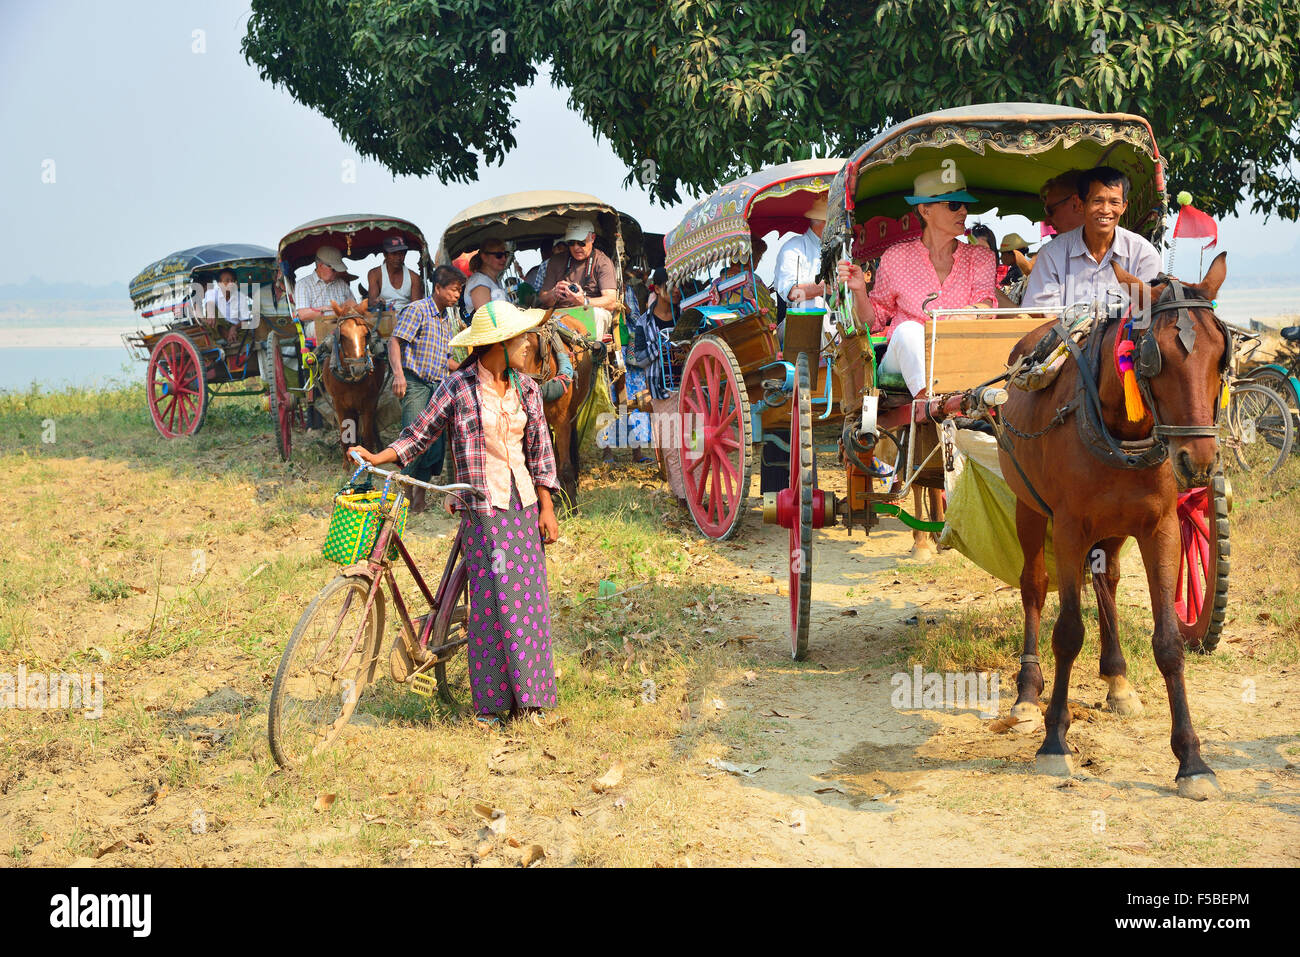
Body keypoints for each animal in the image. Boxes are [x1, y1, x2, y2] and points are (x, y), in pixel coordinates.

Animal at [323, 297, 384, 465]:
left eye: (366, 334)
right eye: (342, 335)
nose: (358, 368)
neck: (350, 381)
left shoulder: (369, 402)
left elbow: (368, 435)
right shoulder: (339, 404)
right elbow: (345, 436)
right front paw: (346, 465)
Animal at [993, 256, 1227, 800]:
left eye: (1220, 356)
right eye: (1152, 359)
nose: (1199, 462)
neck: (1121, 428)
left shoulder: (1161, 529)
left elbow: (1169, 643)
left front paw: (1191, 760)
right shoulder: (1069, 530)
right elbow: (1067, 631)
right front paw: (1055, 740)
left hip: (1116, 529)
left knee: (1108, 581)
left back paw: (1117, 678)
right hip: (1029, 507)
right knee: (1034, 587)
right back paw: (1028, 693)